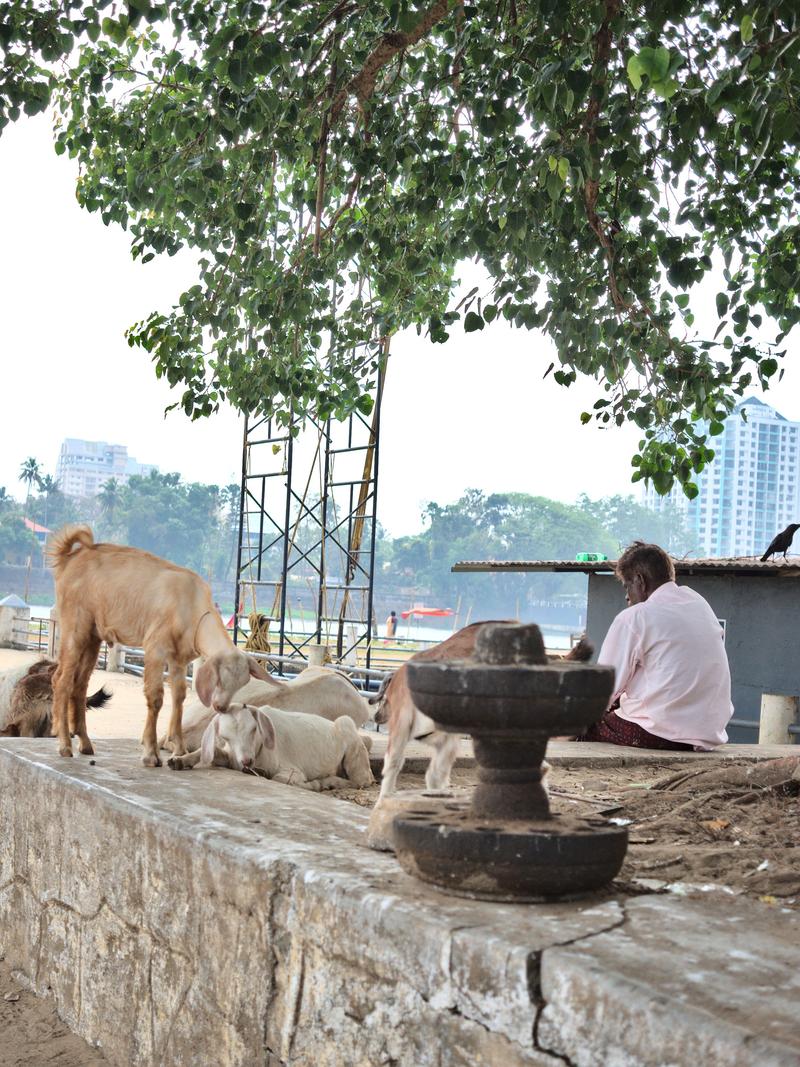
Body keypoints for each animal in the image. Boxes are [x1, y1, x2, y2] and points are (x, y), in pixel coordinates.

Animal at [48, 527, 270, 768]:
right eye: (220, 677)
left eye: (243, 682)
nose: (220, 707)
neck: (189, 604)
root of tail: (71, 558)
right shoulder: (155, 648)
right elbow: (155, 697)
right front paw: (151, 754)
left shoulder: (179, 658)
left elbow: (179, 695)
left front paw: (179, 748)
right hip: (74, 626)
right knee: (62, 680)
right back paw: (64, 744)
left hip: (93, 635)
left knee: (80, 684)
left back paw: (85, 742)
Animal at [169, 699, 375, 793]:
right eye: (225, 737)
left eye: (254, 729)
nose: (247, 761)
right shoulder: (230, 757)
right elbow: (208, 752)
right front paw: (178, 761)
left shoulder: (292, 770)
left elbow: (281, 778)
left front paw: (315, 784)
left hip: (353, 747)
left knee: (361, 781)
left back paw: (330, 782)